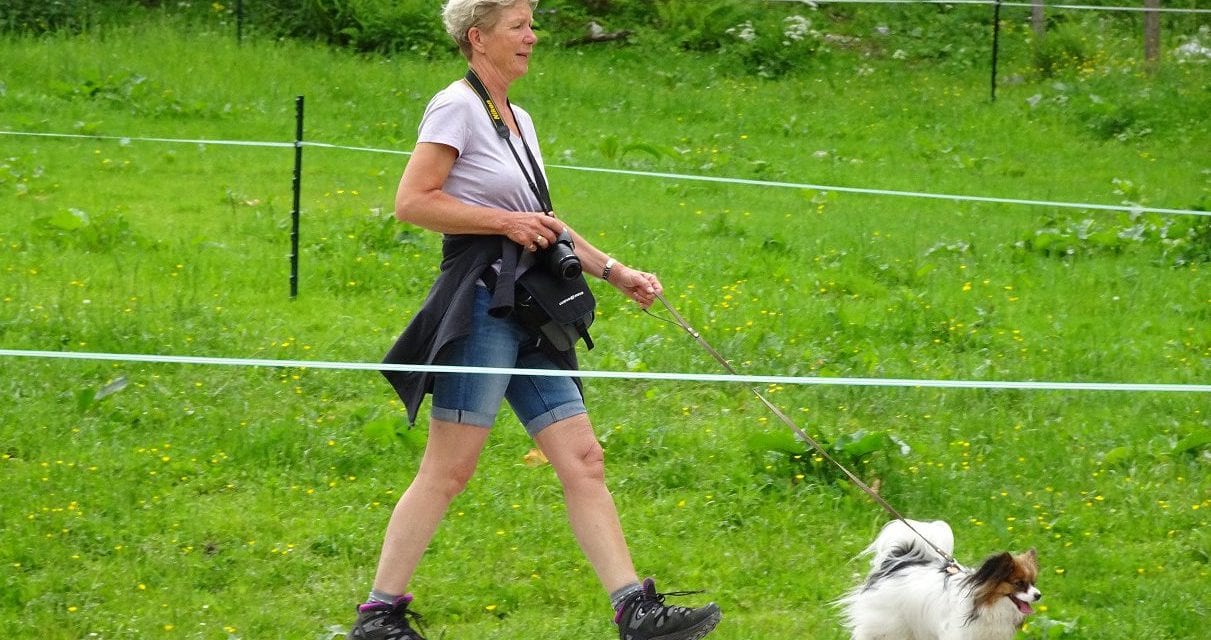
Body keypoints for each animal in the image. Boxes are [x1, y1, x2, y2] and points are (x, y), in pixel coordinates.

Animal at [842, 518, 1041, 640]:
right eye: (1019, 584)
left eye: (1033, 583)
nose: (1038, 595)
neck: (985, 603)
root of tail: (897, 562)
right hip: (886, 624)